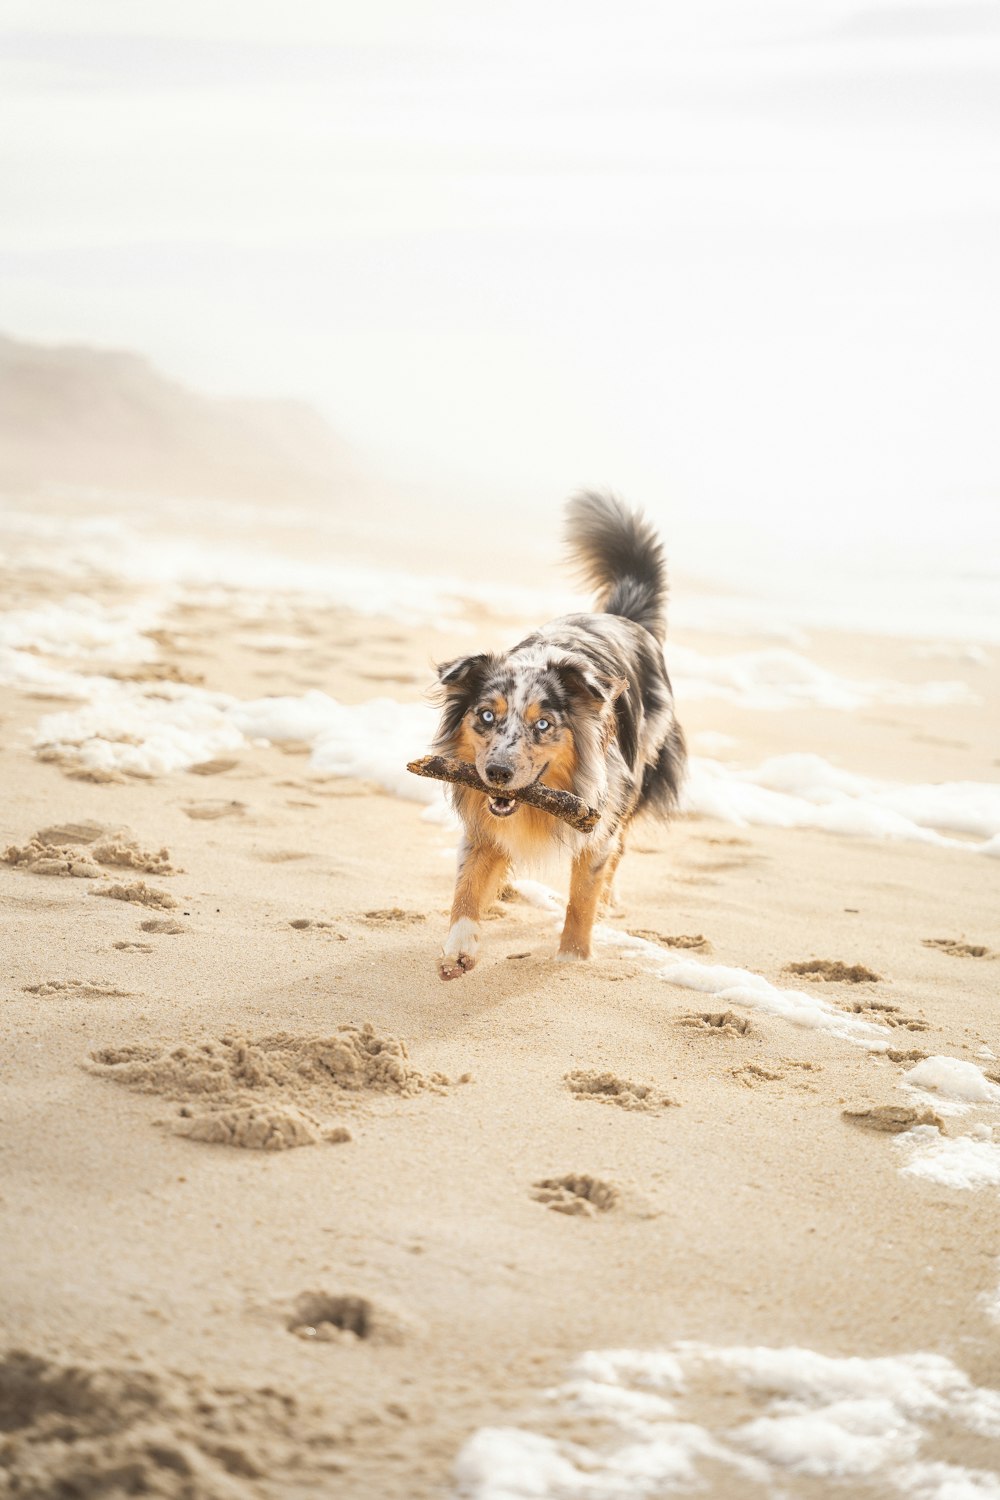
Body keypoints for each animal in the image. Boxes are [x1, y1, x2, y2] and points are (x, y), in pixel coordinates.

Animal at [431, 492, 689, 978]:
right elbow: (467, 886)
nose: (496, 773)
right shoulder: (484, 823)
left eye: (543, 725)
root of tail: (620, 616)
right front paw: (458, 948)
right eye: (486, 716)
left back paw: (608, 900)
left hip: (640, 775)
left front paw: (573, 955)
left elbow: (583, 893)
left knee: (620, 850)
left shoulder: (599, 819)